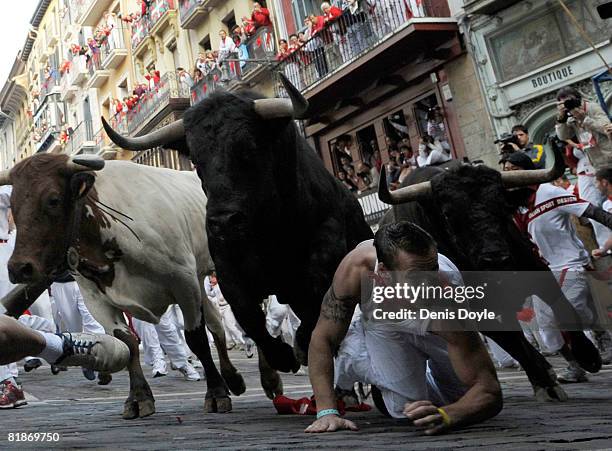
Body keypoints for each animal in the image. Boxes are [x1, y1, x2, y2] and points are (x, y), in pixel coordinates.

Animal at [380, 161, 600, 394]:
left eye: (502, 206)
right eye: (448, 214)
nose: (495, 258)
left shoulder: (536, 269)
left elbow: (561, 305)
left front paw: (588, 355)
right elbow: (513, 343)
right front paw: (544, 382)